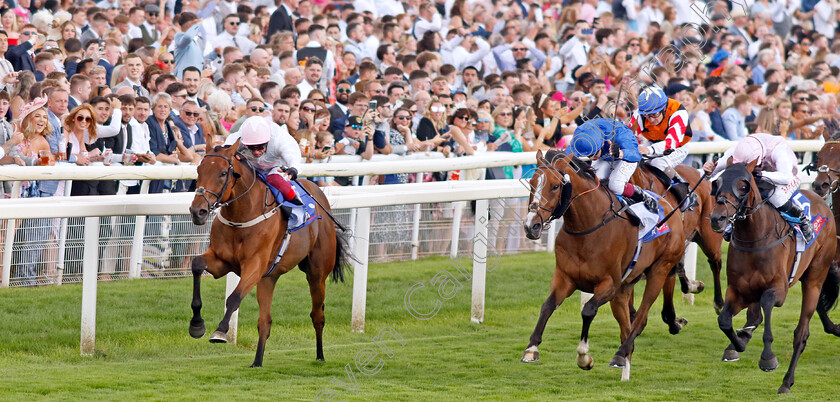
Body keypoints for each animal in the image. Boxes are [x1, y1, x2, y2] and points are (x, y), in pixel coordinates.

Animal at [189, 141, 350, 368]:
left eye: (222, 173)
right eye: (199, 170)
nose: (198, 211)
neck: (242, 216)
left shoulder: (254, 266)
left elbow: (234, 297)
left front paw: (220, 332)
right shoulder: (222, 262)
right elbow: (196, 265)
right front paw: (196, 325)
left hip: (317, 274)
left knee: (317, 315)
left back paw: (320, 355)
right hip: (269, 278)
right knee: (265, 321)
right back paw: (257, 361)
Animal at [520, 150, 684, 380]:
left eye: (554, 186)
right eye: (533, 183)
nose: (531, 226)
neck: (587, 227)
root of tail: (671, 207)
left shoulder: (609, 284)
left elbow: (588, 310)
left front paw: (584, 357)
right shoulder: (565, 278)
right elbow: (548, 306)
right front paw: (531, 349)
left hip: (659, 270)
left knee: (640, 319)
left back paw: (619, 354)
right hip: (624, 289)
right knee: (626, 327)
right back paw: (624, 369)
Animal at [708, 158, 840, 392]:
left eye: (743, 186)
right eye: (717, 183)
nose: (717, 218)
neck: (753, 238)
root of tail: (824, 202)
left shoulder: (778, 289)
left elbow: (766, 306)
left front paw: (768, 358)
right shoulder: (738, 291)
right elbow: (724, 320)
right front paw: (737, 344)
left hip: (815, 276)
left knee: (801, 334)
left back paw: (787, 381)